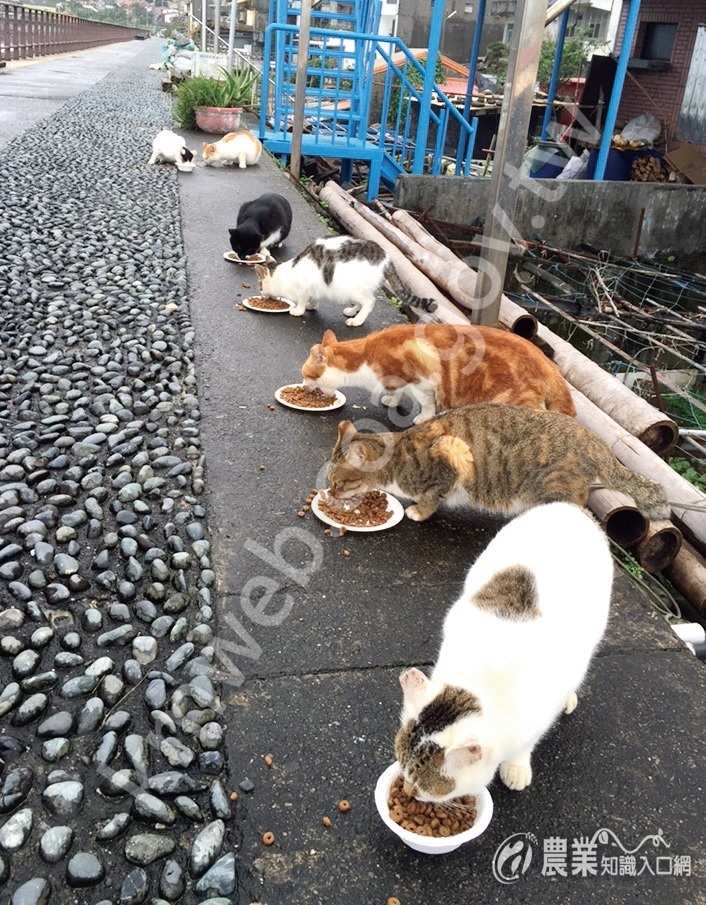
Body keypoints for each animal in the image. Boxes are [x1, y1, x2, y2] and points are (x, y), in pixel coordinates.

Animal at [250, 235, 438, 326]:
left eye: (260, 286)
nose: (261, 294)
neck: (288, 273)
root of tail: (386, 258)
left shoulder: (304, 288)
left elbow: (302, 301)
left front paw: (299, 310)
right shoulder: (315, 288)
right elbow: (314, 299)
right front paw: (312, 305)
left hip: (355, 289)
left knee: (370, 302)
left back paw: (357, 320)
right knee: (362, 302)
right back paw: (352, 311)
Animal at [300, 324, 576, 424]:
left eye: (306, 375)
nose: (302, 385)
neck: (365, 358)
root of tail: (546, 362)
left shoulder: (422, 374)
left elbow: (426, 403)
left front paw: (423, 417)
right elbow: (397, 392)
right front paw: (391, 399)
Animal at [324, 402, 664, 524]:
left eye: (338, 482)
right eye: (328, 482)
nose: (330, 493)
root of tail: (596, 441)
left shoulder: (452, 455)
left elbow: (432, 495)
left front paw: (419, 511)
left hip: (554, 486)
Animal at [394, 504, 612, 800]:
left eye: (422, 786)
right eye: (401, 766)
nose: (406, 791)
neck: (480, 680)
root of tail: (570, 506)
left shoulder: (539, 716)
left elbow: (527, 744)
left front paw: (517, 767)